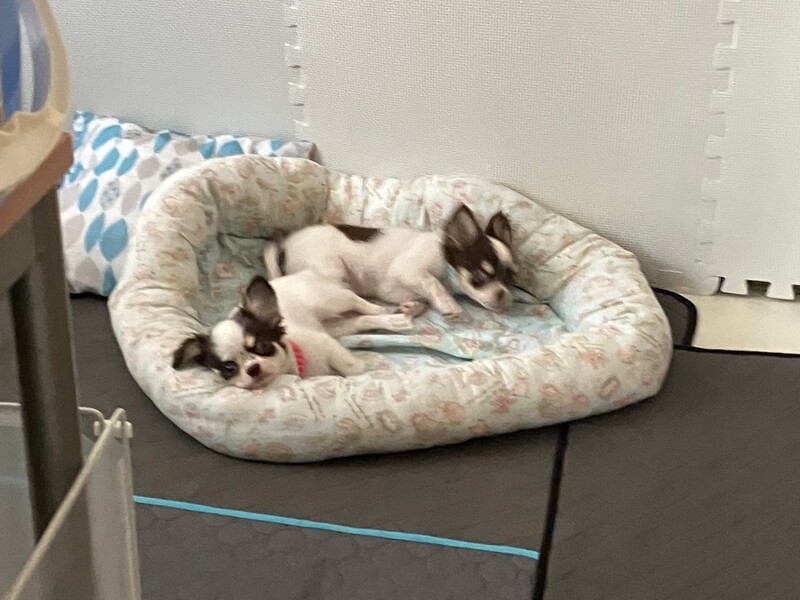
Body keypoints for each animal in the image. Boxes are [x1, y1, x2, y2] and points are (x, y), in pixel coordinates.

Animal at [172, 271, 414, 389]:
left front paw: (359, 372)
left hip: (330, 301)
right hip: (336, 327)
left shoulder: (326, 344)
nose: (252, 368)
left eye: (263, 345)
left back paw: (380, 308)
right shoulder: (327, 338)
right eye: (228, 369)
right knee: (361, 321)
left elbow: (350, 366)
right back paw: (394, 321)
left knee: (355, 300)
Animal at [263, 203, 516, 318]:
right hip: (331, 272)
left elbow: (424, 300)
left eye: (508, 279)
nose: (503, 295)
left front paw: (411, 308)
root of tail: (286, 245)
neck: (447, 266)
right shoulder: (409, 270)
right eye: (480, 276)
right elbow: (434, 283)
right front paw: (449, 304)